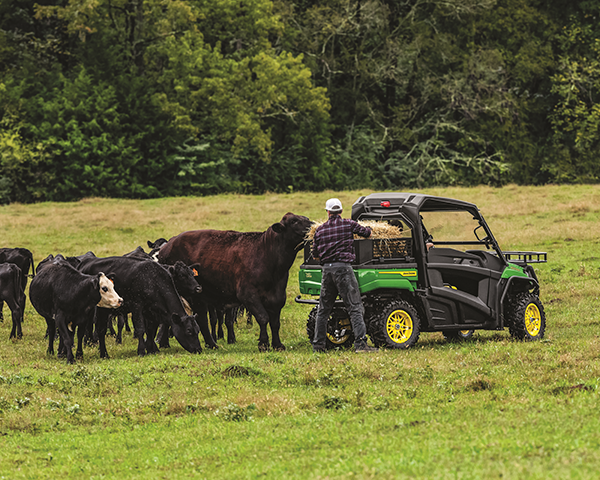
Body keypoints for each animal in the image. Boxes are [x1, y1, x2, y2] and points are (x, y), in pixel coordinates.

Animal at [76, 258, 210, 356]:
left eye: (198, 330)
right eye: (189, 331)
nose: (198, 349)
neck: (152, 280)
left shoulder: (151, 312)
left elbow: (151, 330)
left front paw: (152, 349)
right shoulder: (137, 306)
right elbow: (141, 328)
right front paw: (141, 350)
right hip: (101, 309)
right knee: (100, 329)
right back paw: (103, 353)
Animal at [157, 212, 312, 350]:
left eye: (306, 218)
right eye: (294, 221)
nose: (313, 225)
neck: (267, 256)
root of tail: (167, 246)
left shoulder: (278, 296)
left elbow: (275, 322)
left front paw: (277, 344)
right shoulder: (248, 295)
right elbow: (263, 317)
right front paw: (263, 343)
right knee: (199, 319)